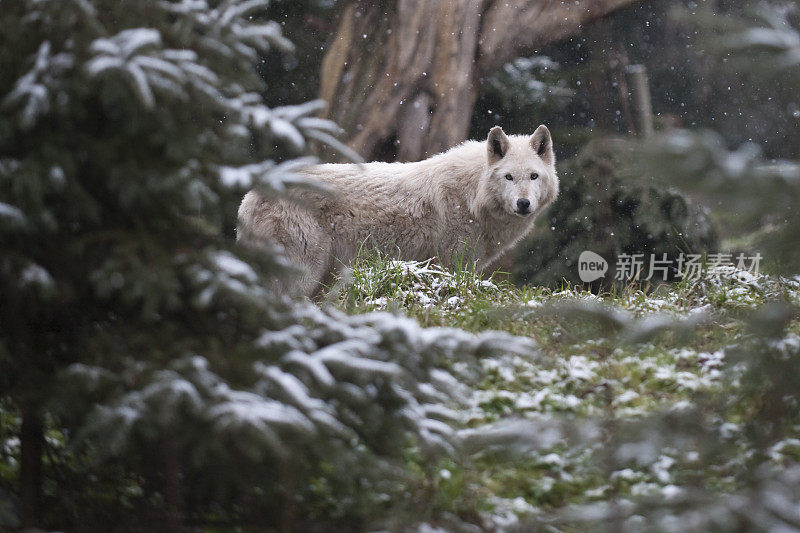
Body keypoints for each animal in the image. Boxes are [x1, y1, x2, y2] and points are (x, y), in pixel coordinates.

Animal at [241, 127, 560, 298]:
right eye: (509, 177)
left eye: (533, 176)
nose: (523, 203)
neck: (471, 195)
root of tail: (249, 196)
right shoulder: (452, 265)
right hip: (305, 276)